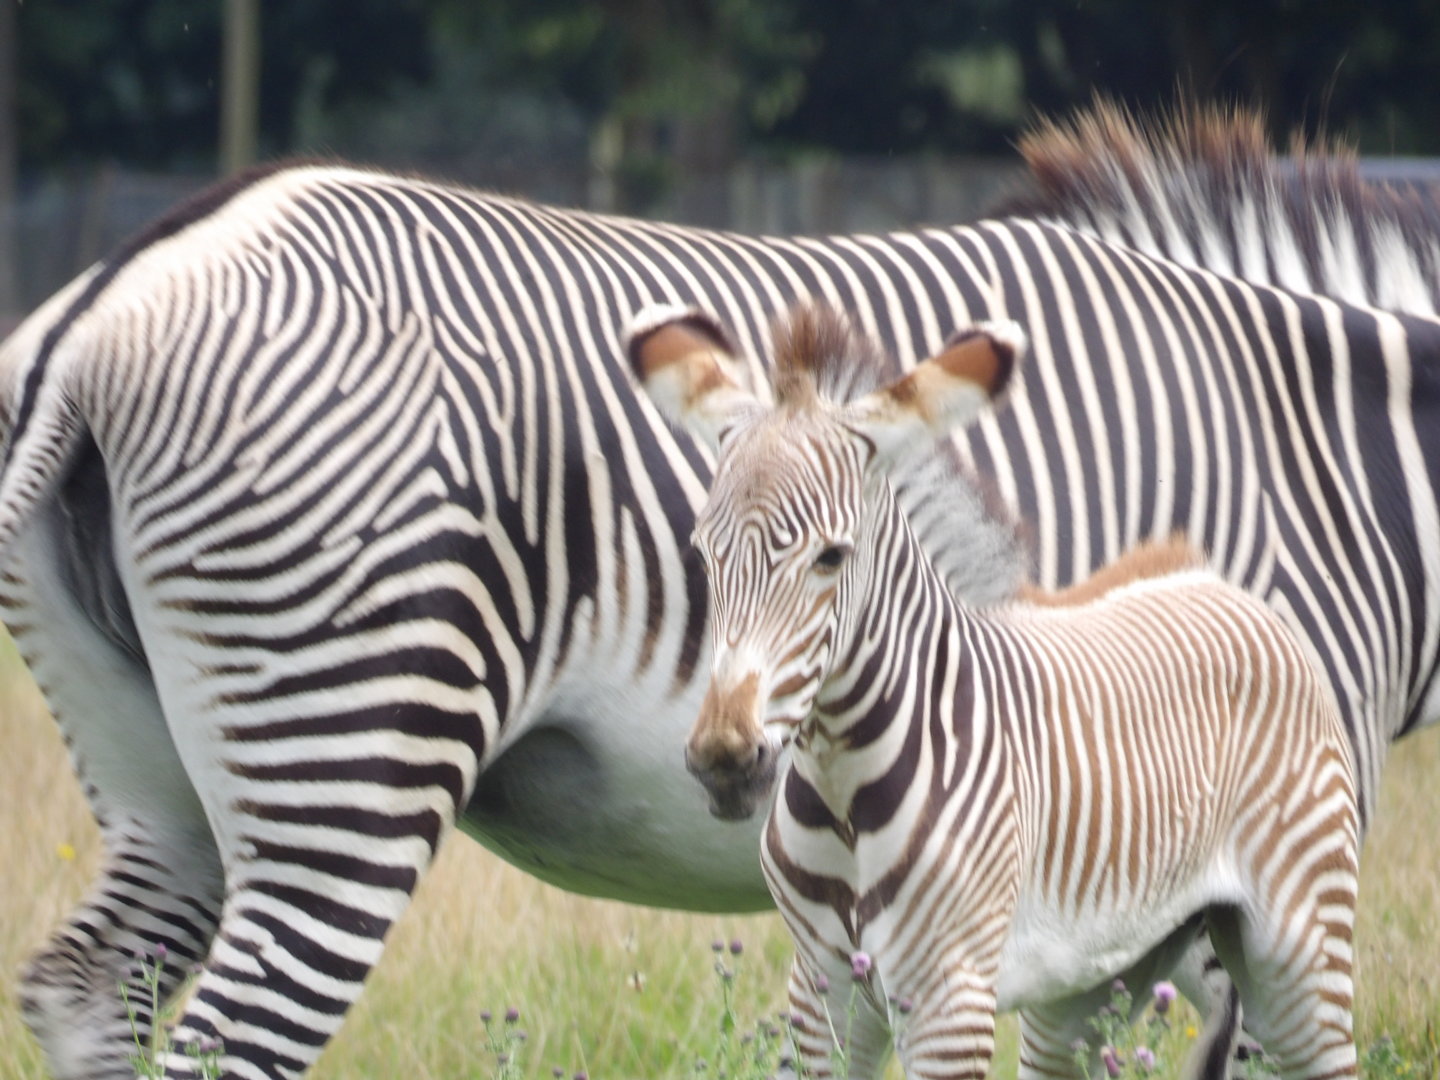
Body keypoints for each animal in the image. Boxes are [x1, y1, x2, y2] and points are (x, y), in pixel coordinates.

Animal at [629, 301, 1360, 1079]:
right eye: (702, 555)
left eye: (830, 557)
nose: (724, 758)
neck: (843, 790)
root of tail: (1212, 581)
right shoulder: (822, 993)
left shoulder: (949, 998)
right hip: (1093, 984)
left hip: (1300, 950)